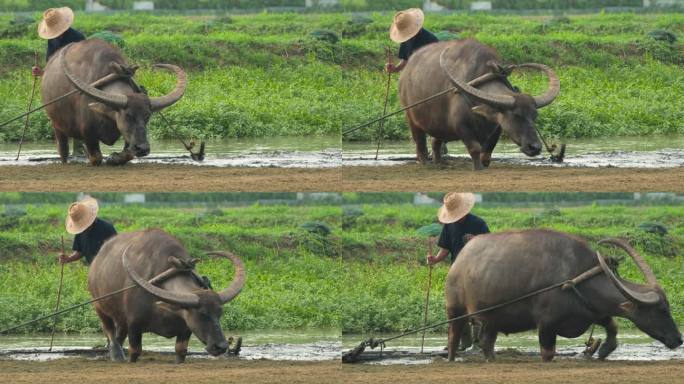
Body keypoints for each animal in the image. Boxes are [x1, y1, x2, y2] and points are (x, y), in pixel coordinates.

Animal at [41, 39, 186, 166]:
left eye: (147, 116)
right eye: (128, 115)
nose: (143, 148)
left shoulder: (128, 136)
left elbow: (129, 154)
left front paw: (113, 158)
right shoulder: (88, 133)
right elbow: (96, 158)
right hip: (57, 125)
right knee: (63, 150)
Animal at [87, 230, 244, 364]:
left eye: (220, 313)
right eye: (202, 314)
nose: (221, 347)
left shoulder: (185, 328)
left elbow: (181, 350)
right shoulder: (134, 324)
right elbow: (135, 351)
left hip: (120, 317)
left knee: (119, 334)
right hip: (99, 307)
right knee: (109, 331)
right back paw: (116, 355)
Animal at [400, 39, 560, 170]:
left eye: (534, 116)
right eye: (516, 116)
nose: (535, 147)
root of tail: (405, 72)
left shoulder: (497, 127)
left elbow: (487, 152)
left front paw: (484, 164)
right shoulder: (462, 127)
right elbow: (475, 148)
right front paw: (478, 168)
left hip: (438, 124)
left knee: (436, 142)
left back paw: (439, 163)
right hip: (411, 118)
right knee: (420, 144)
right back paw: (425, 163)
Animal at [446, 230, 680, 362]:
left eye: (668, 306)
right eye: (660, 310)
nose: (679, 339)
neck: (574, 275)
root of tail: (461, 258)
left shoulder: (592, 311)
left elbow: (612, 326)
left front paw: (603, 350)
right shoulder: (546, 326)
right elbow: (548, 354)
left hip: (492, 318)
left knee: (487, 342)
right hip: (455, 310)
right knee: (454, 336)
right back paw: (451, 359)